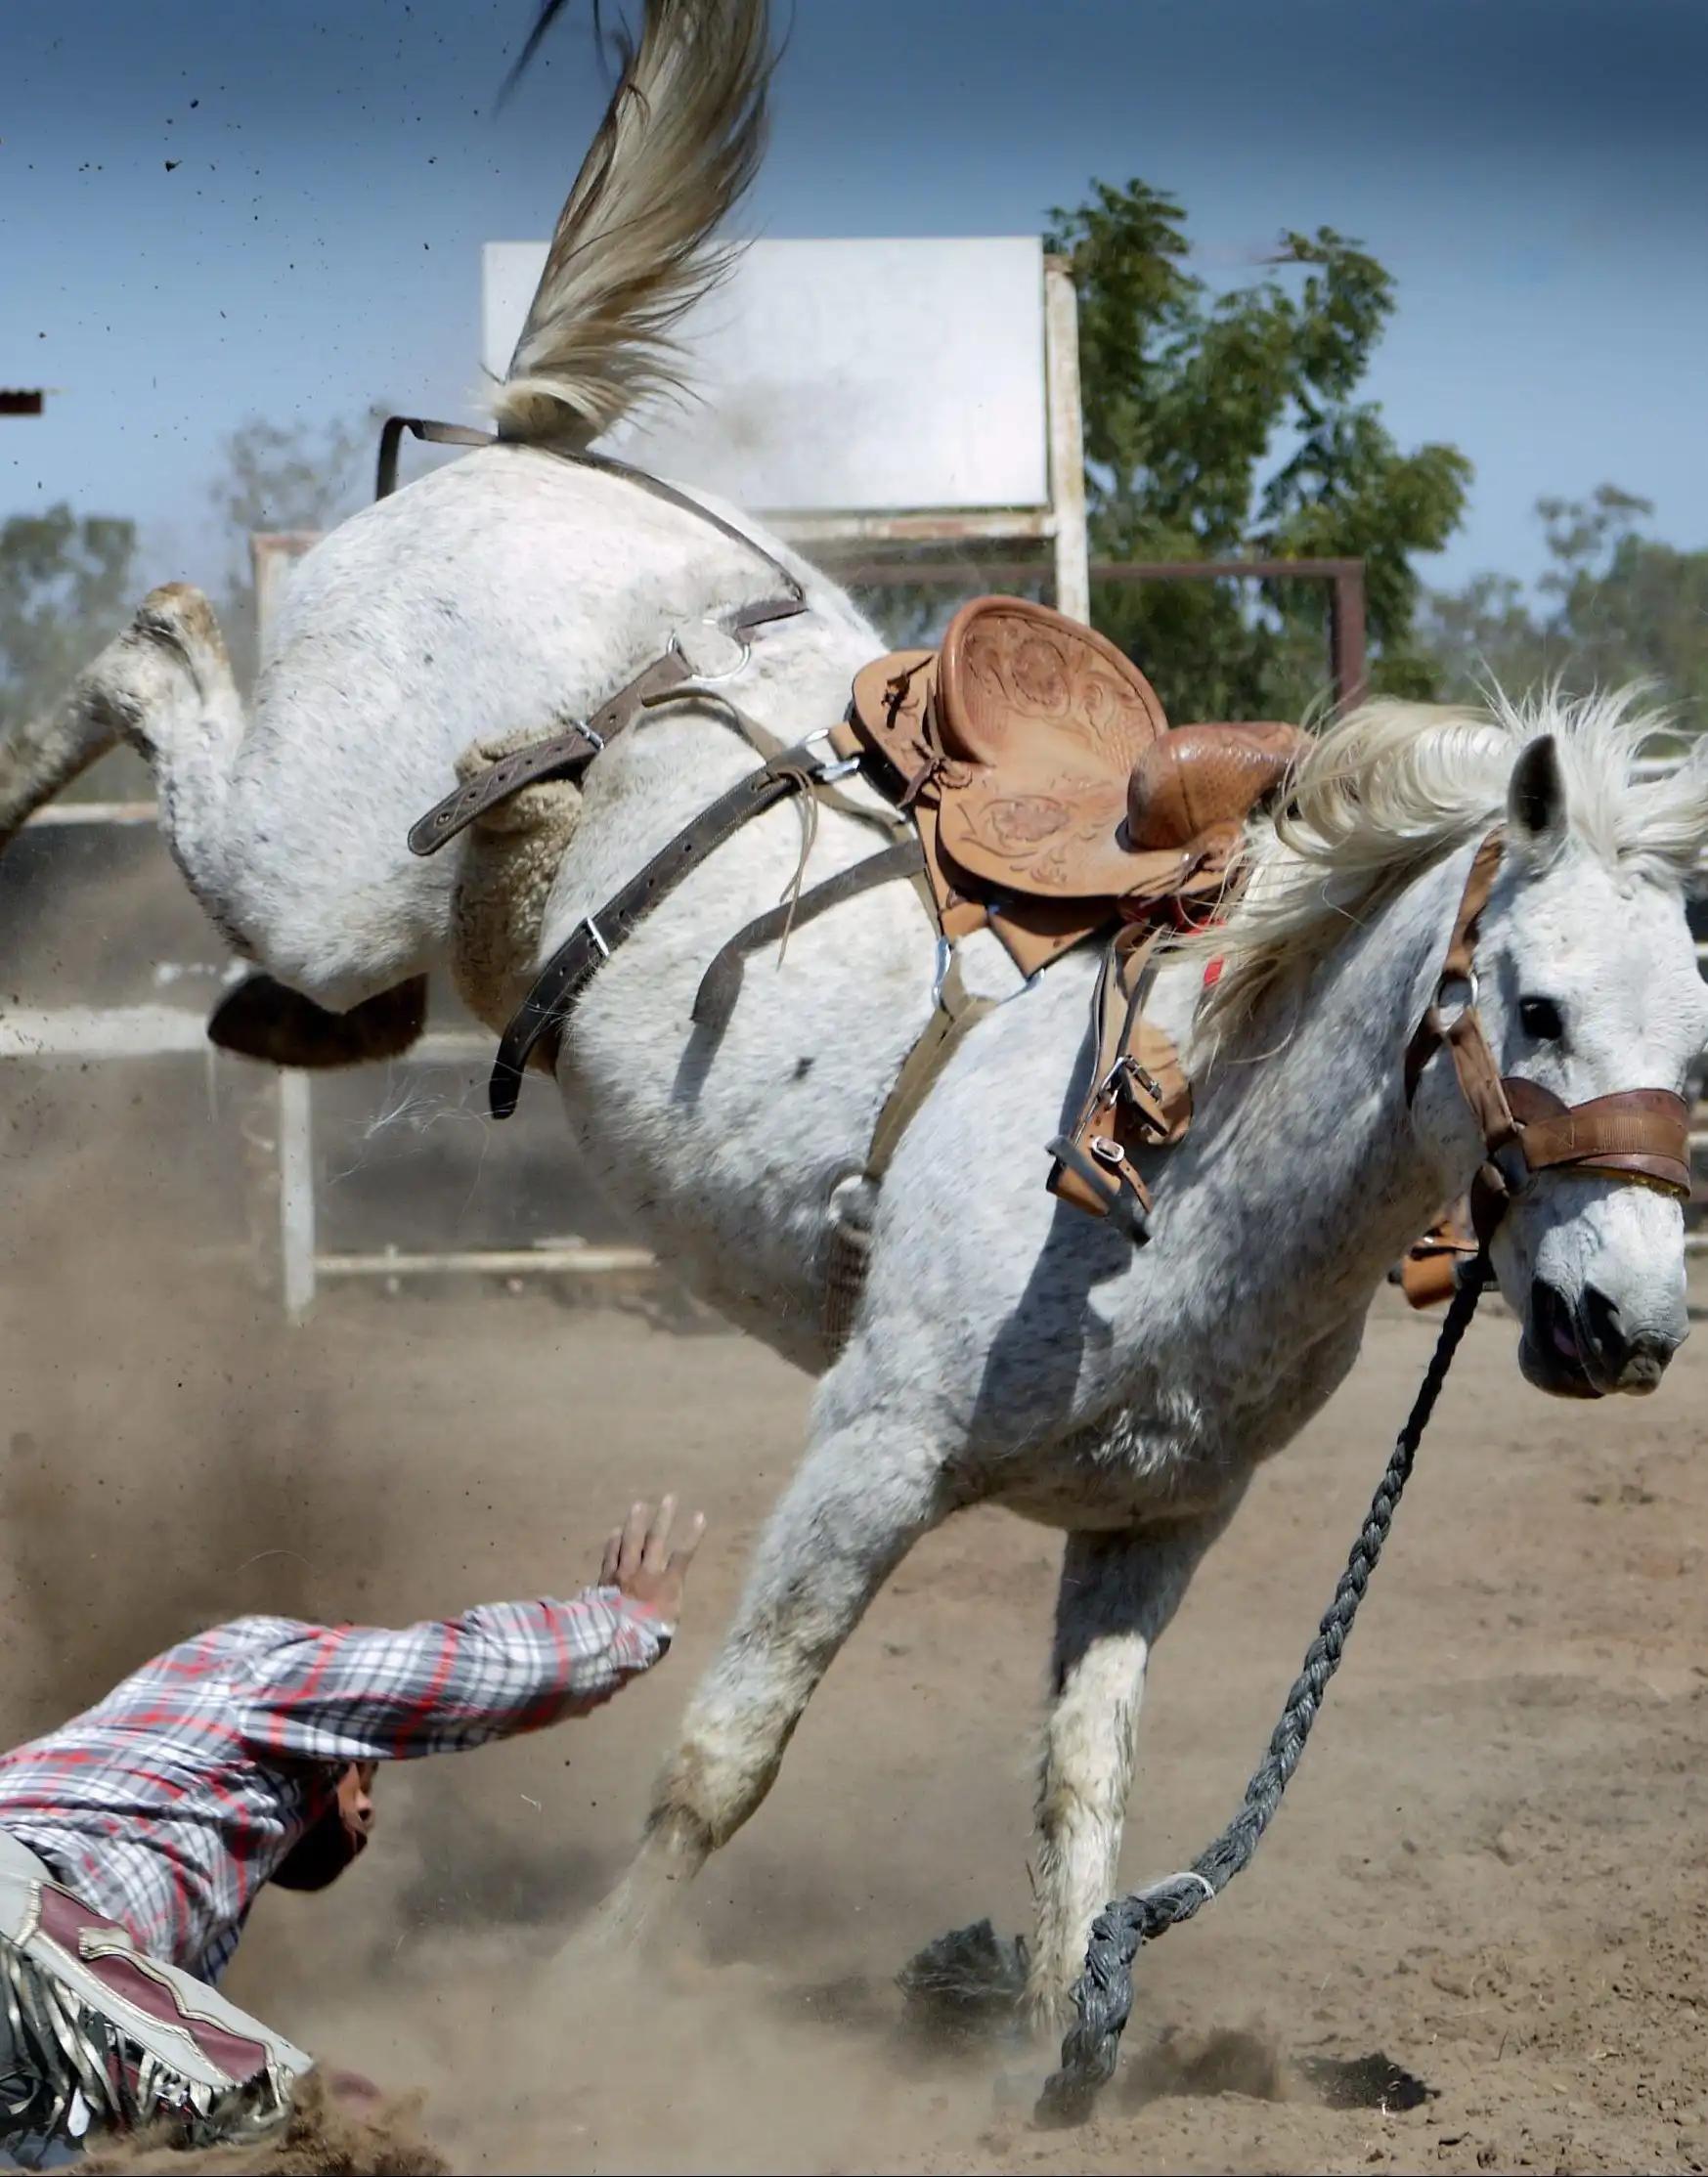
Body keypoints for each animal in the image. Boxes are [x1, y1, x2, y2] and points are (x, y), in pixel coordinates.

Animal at [3, 0, 1708, 2020]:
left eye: (1696, 1042)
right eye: (1534, 1006)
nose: (1628, 1325)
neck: (1187, 1152)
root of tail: (533, 459)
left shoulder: (1150, 1528)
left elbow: (1079, 1810)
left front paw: (1057, 2043)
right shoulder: (871, 1454)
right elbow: (727, 1752)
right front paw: (584, 2012)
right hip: (315, 865)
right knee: (156, 644)